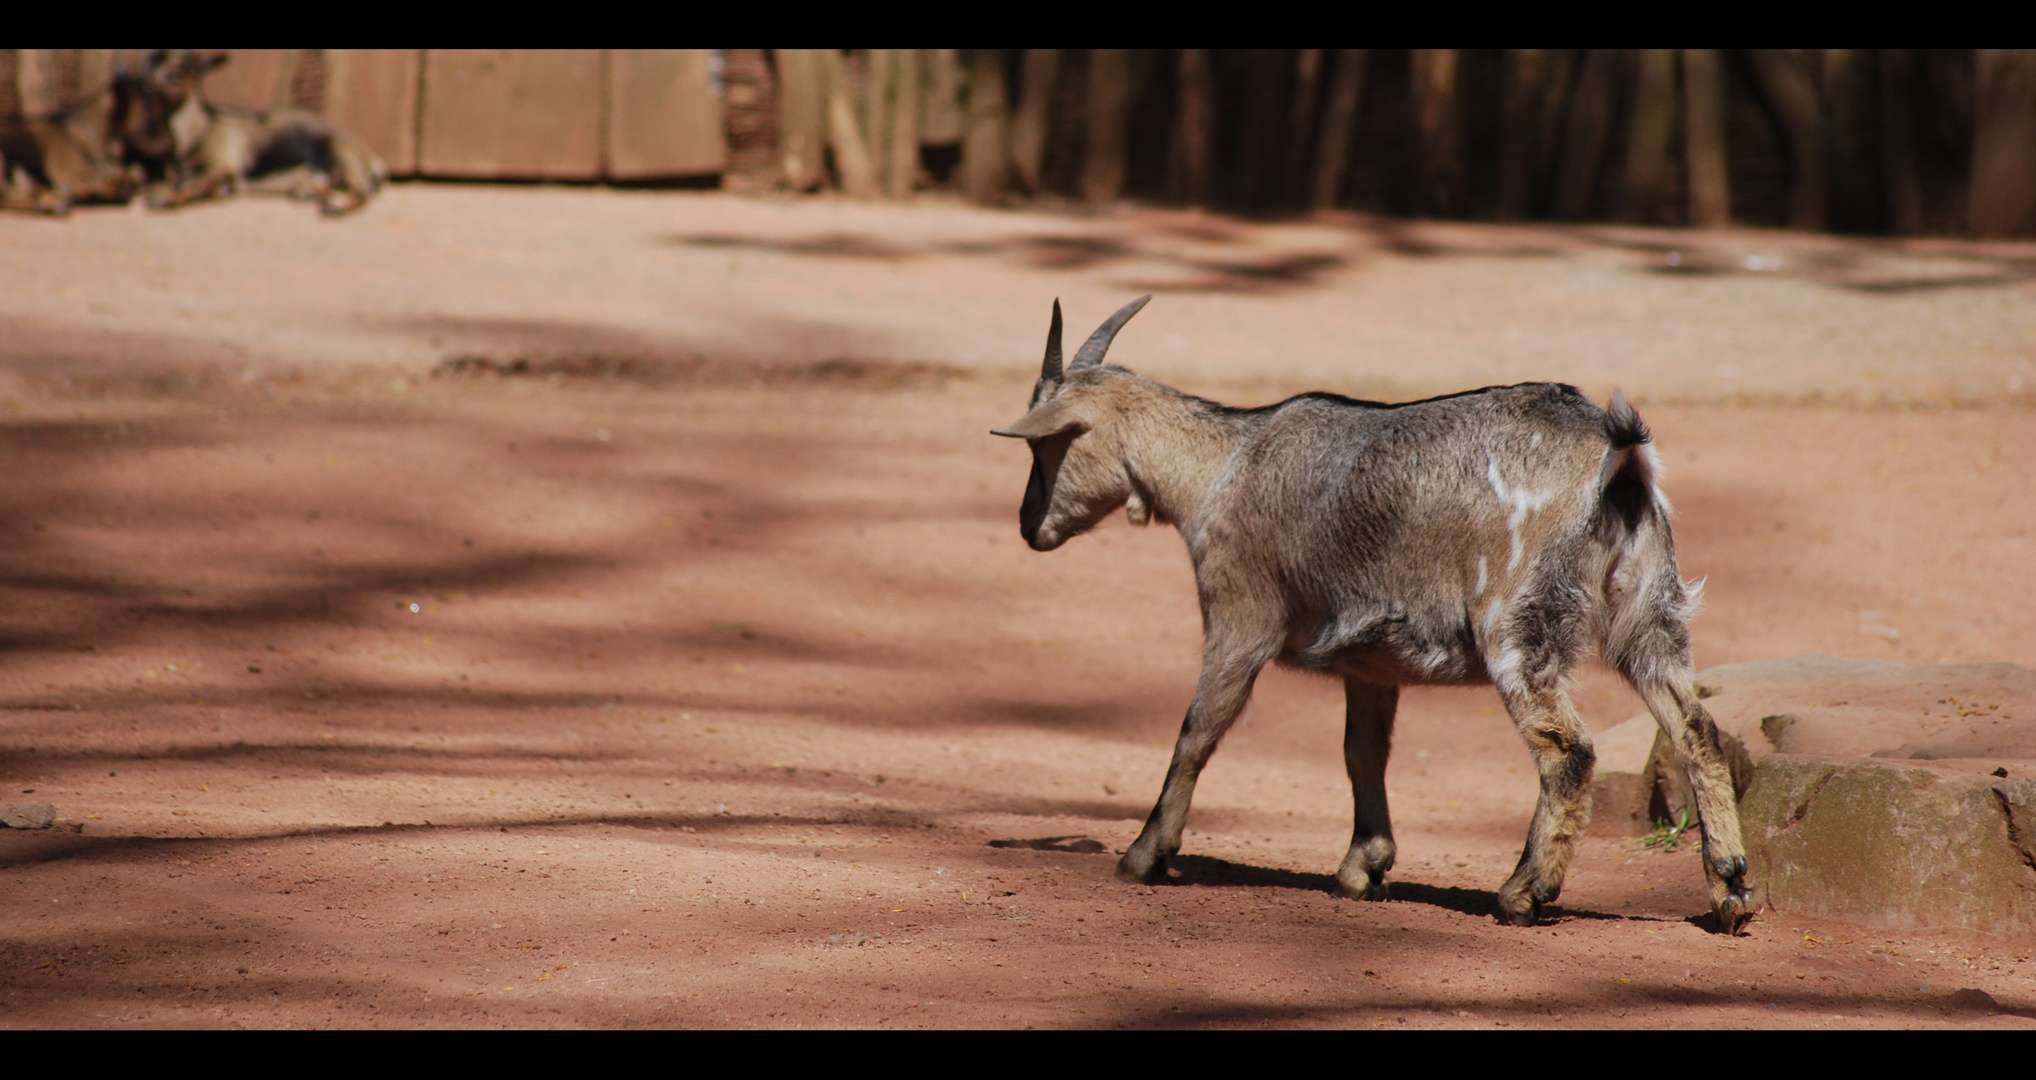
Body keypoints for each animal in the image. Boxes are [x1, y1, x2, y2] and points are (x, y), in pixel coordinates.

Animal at [985, 297, 1750, 929]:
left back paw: (1523, 893)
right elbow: (1363, 752)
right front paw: (1364, 867)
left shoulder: (1240, 614)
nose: (1027, 525)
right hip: (1649, 612)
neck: (1222, 466)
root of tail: (1618, 461)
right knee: (1695, 726)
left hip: (1518, 621)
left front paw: (1144, 855)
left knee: (1569, 750)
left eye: (1044, 443)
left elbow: (1199, 729)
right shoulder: (1372, 665)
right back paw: (1731, 890)